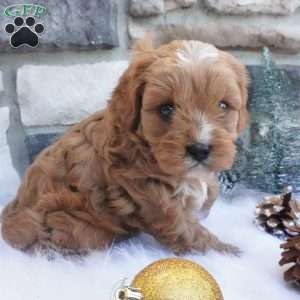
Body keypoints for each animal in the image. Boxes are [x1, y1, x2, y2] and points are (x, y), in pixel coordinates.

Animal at [0, 35, 248, 255]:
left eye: (223, 106)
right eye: (166, 109)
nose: (200, 149)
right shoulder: (150, 195)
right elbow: (188, 230)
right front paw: (228, 252)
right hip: (70, 226)